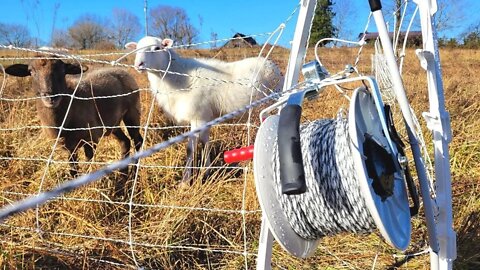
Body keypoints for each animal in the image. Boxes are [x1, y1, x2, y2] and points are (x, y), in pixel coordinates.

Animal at [125, 36, 284, 181]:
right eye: (136, 49)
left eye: (157, 48)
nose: (138, 64)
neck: (176, 75)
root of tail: (273, 66)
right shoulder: (205, 117)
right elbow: (205, 143)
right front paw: (206, 172)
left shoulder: (197, 116)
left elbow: (190, 149)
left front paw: (185, 181)